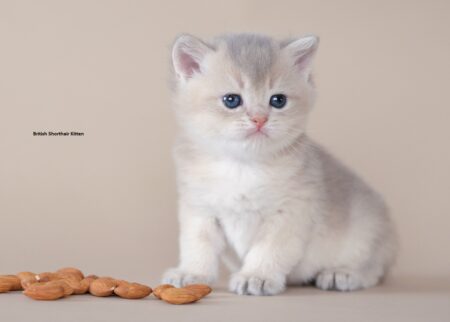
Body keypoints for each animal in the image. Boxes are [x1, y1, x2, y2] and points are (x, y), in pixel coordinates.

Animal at [163, 32, 398, 294]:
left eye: (278, 100)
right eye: (231, 100)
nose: (259, 119)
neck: (242, 166)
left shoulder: (291, 212)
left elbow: (269, 250)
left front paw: (257, 276)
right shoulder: (199, 210)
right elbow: (197, 246)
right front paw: (192, 273)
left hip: (368, 230)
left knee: (373, 269)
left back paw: (343, 273)